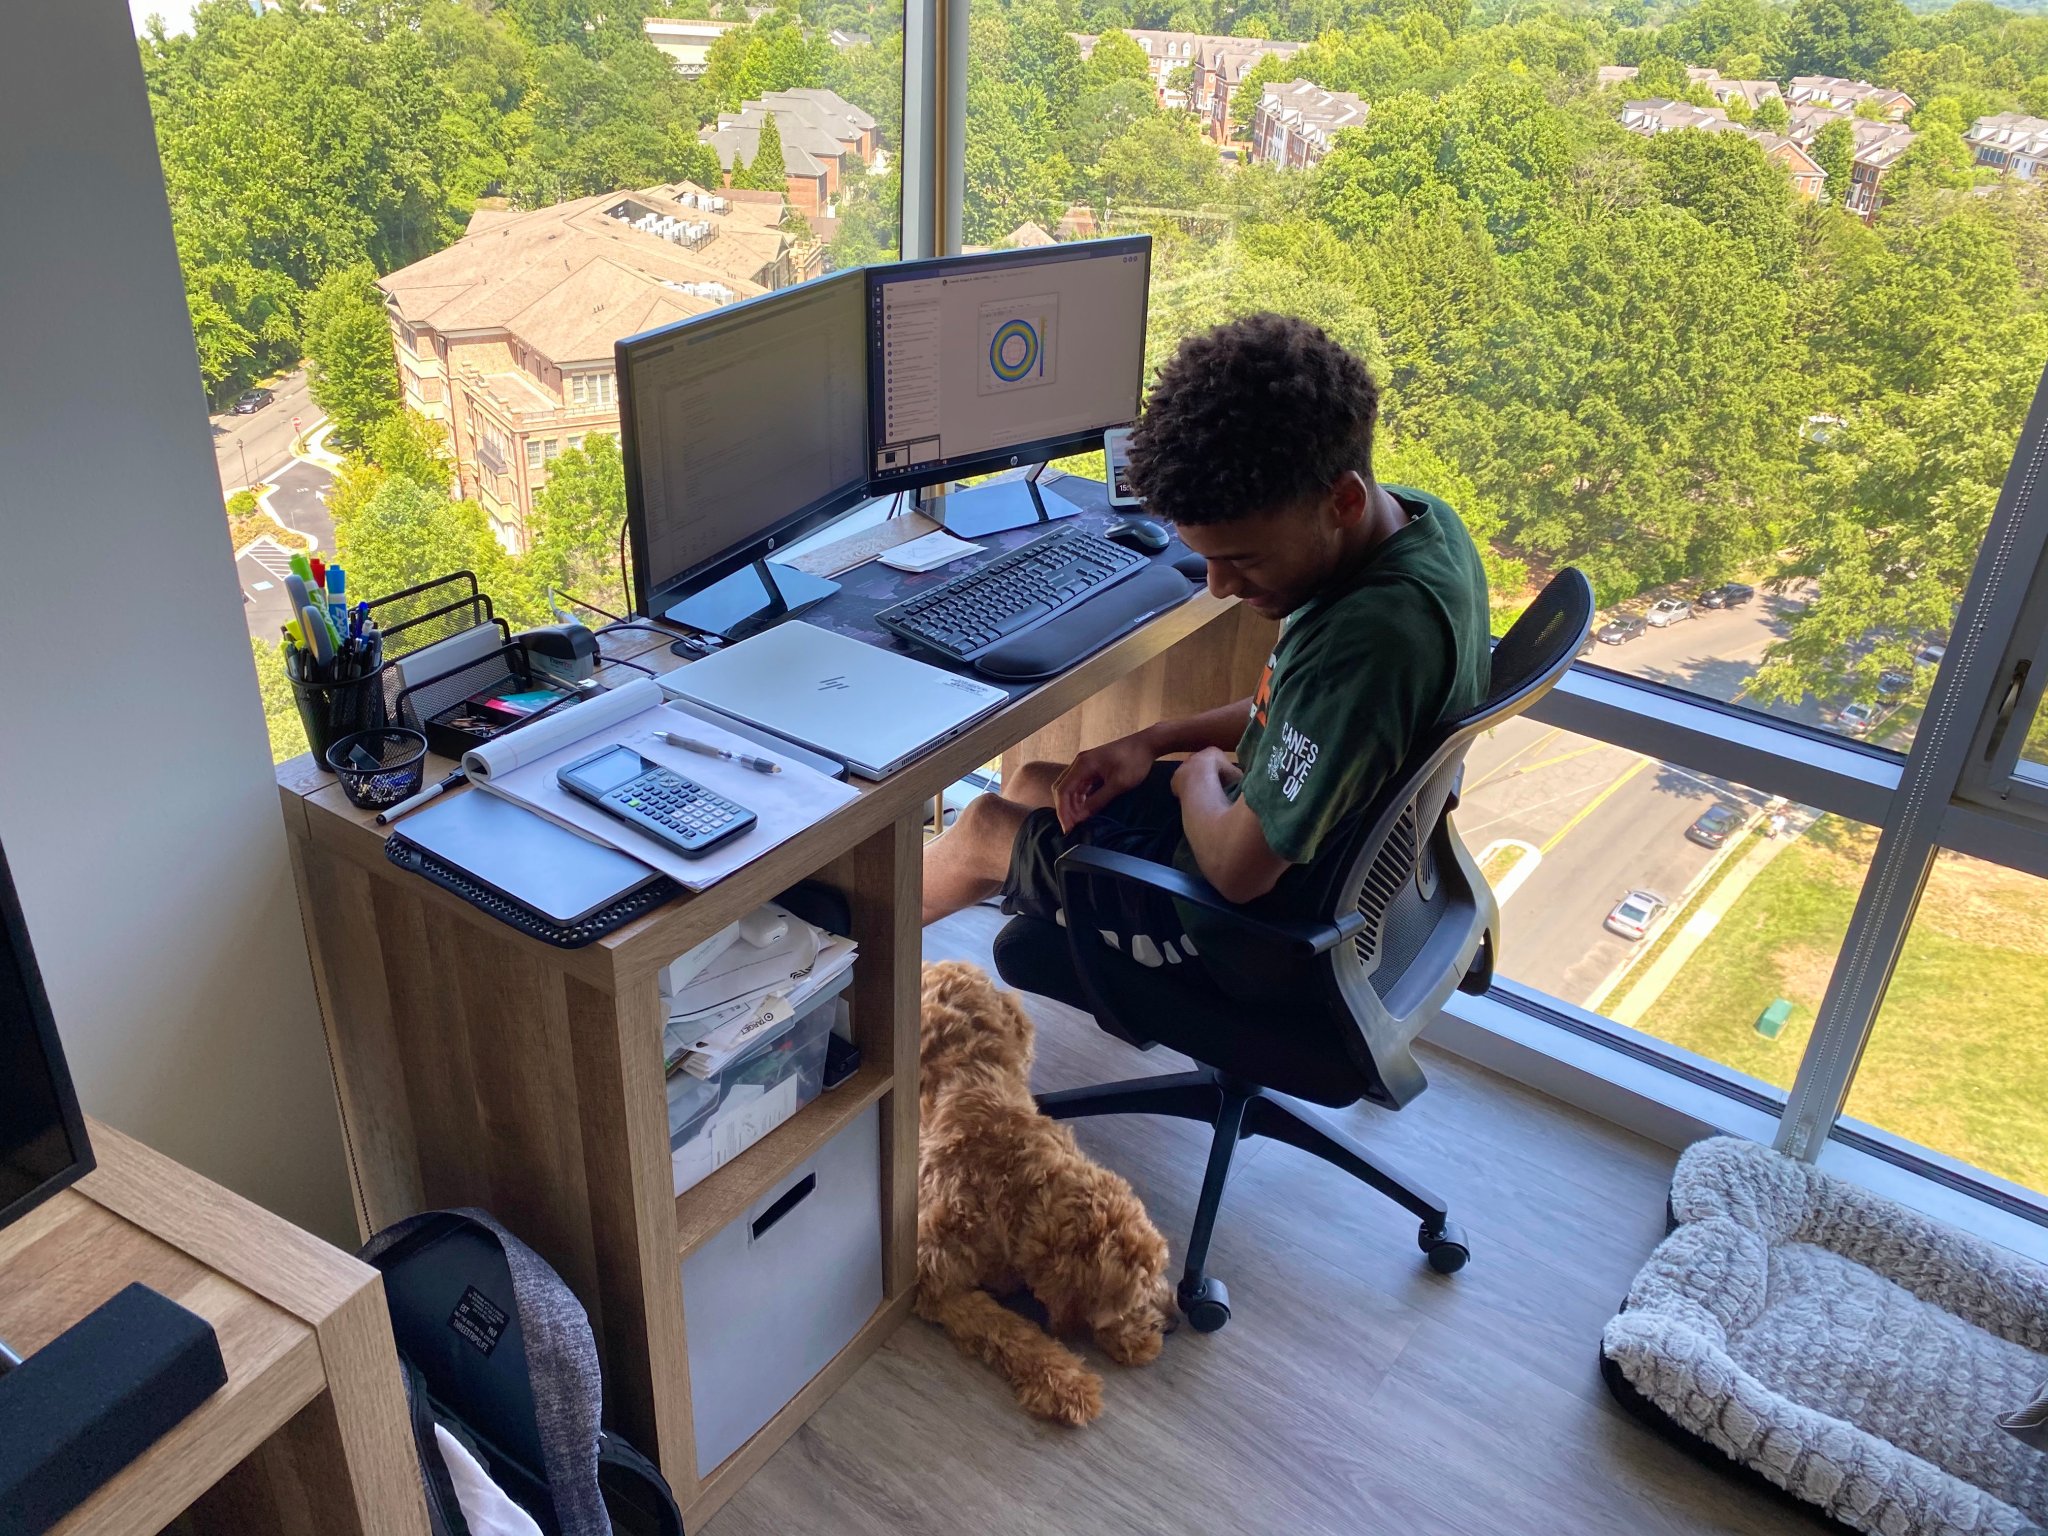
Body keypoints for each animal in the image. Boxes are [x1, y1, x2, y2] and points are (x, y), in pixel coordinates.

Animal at [921, 962, 1179, 1433]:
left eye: (1160, 1270)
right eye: (1132, 1301)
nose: (1174, 1322)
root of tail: (943, 964)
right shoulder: (931, 1276)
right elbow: (1006, 1327)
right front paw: (1068, 1383)